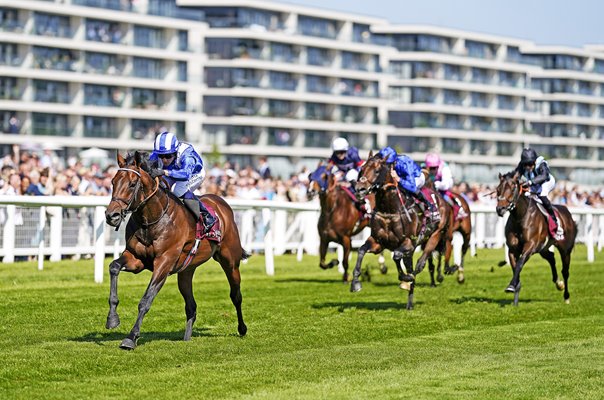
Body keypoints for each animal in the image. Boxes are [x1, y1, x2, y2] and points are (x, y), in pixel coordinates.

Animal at [104, 152, 248, 348]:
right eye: (113, 182)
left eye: (132, 184)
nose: (111, 215)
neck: (152, 219)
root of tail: (221, 203)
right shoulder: (135, 258)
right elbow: (114, 267)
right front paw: (112, 318)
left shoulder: (164, 262)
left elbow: (146, 300)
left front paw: (131, 337)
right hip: (186, 270)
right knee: (191, 306)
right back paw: (187, 338)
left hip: (230, 261)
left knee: (236, 295)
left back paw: (242, 328)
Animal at [350, 153, 448, 310]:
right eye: (362, 169)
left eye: (377, 170)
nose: (360, 189)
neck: (390, 210)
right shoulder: (377, 243)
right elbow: (361, 250)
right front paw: (355, 282)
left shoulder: (408, 242)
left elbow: (396, 256)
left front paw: (405, 278)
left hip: (434, 235)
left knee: (420, 263)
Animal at [498, 172, 580, 306]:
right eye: (498, 189)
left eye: (512, 188)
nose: (500, 209)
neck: (520, 217)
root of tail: (567, 212)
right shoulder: (512, 249)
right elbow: (515, 267)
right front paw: (515, 287)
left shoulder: (530, 246)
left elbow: (520, 263)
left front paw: (512, 286)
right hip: (543, 248)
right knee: (551, 258)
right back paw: (558, 283)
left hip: (565, 249)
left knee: (565, 271)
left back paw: (566, 296)